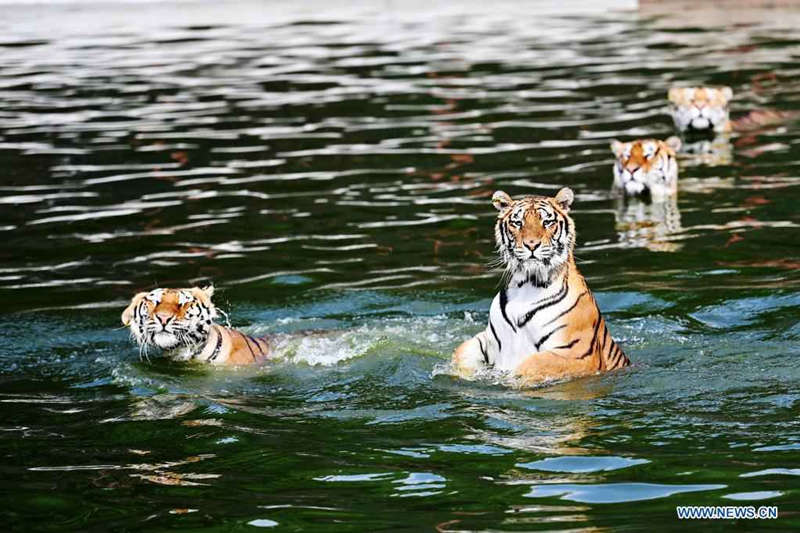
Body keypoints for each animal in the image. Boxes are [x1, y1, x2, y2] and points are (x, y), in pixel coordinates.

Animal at [450, 185, 632, 384]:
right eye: (518, 223)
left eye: (547, 222)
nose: (531, 245)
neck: (527, 285)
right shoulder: (487, 339)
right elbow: (461, 351)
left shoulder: (580, 353)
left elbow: (535, 362)